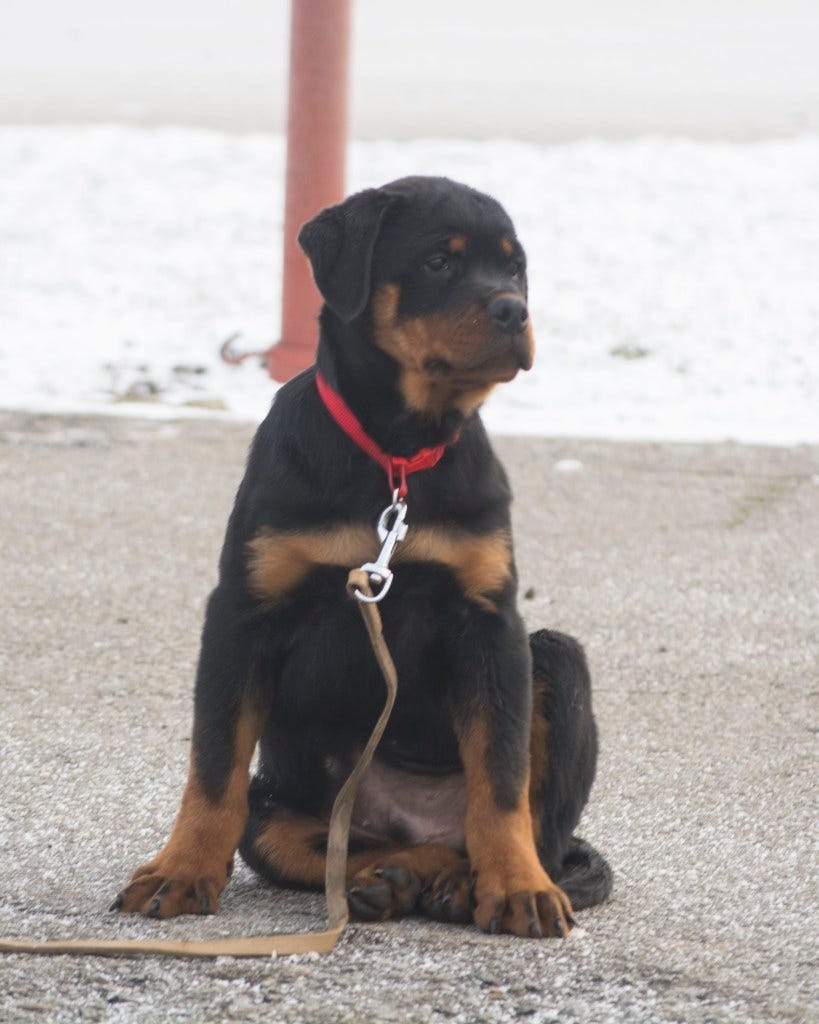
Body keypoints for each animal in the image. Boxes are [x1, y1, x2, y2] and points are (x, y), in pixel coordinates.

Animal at [116, 174, 614, 937]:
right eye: (439, 261)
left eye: (515, 268)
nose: (514, 310)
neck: (396, 453)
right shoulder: (243, 610)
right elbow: (213, 763)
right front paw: (179, 870)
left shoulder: (489, 619)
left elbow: (502, 779)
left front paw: (518, 887)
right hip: (280, 804)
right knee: (318, 841)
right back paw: (391, 881)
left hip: (554, 656)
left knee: (526, 829)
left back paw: (465, 883)